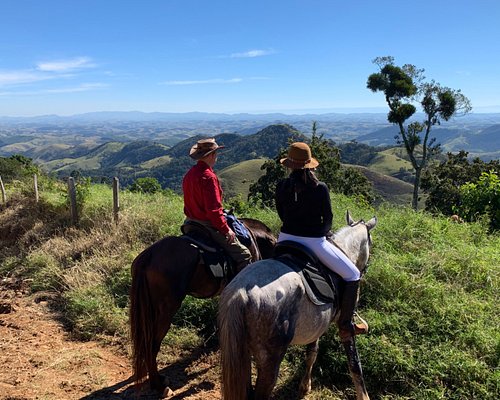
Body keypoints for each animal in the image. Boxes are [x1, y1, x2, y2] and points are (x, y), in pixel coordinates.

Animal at [217, 211, 376, 398]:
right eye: (370, 242)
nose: (365, 269)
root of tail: (240, 292)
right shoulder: (344, 324)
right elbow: (354, 363)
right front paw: (363, 395)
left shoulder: (317, 326)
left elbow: (312, 352)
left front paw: (305, 386)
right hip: (270, 361)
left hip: (244, 353)